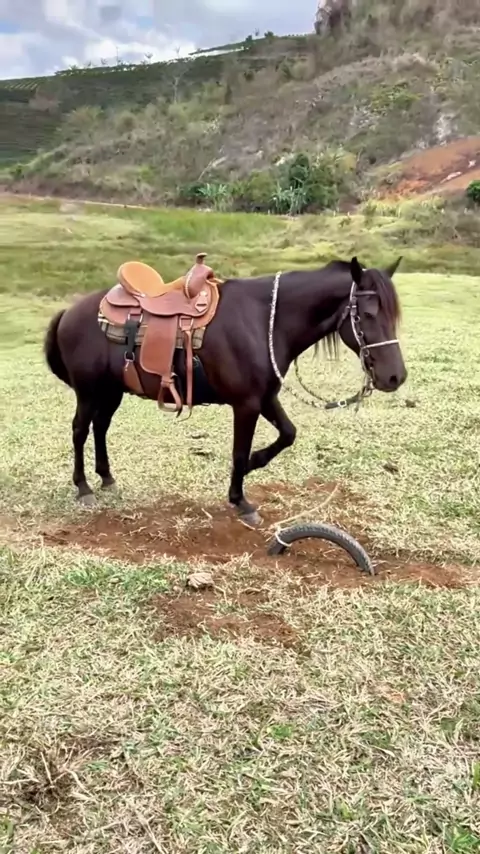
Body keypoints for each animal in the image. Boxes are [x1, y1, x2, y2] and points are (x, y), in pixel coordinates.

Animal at [44, 255, 406, 525]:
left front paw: (253, 464)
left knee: (100, 427)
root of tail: (69, 312)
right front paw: (240, 500)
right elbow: (239, 451)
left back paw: (106, 478)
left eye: (393, 315)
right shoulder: (246, 403)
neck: (264, 321)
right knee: (80, 430)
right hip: (89, 391)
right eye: (368, 314)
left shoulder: (265, 397)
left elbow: (288, 433)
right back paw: (83, 487)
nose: (396, 377)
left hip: (111, 391)